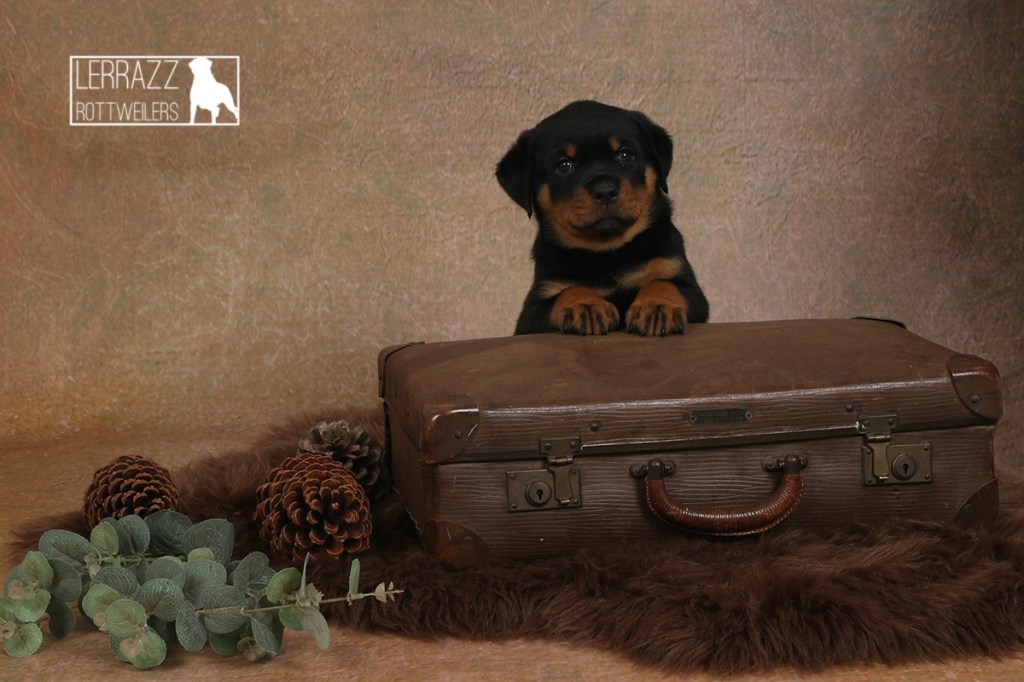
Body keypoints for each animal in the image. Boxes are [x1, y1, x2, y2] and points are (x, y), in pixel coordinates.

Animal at [496, 100, 709, 336]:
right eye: (564, 165)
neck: (607, 251)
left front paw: (656, 306)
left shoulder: (682, 279)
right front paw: (585, 305)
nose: (605, 190)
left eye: (625, 155)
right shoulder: (536, 305)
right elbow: (569, 290)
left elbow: (663, 283)